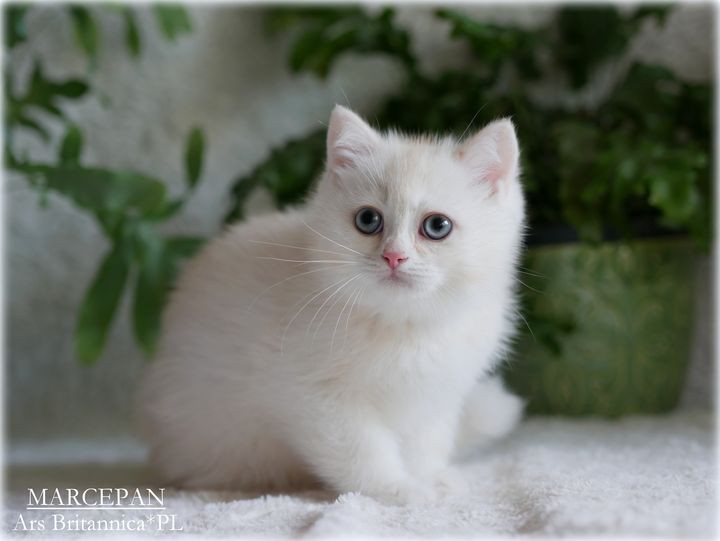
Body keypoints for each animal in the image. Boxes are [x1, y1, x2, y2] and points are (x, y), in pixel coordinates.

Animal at [136, 105, 526, 505]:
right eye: (368, 220)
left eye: (437, 226)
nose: (394, 257)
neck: (403, 323)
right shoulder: (314, 397)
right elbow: (361, 450)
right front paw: (397, 489)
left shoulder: (435, 395)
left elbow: (426, 442)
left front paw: (429, 477)